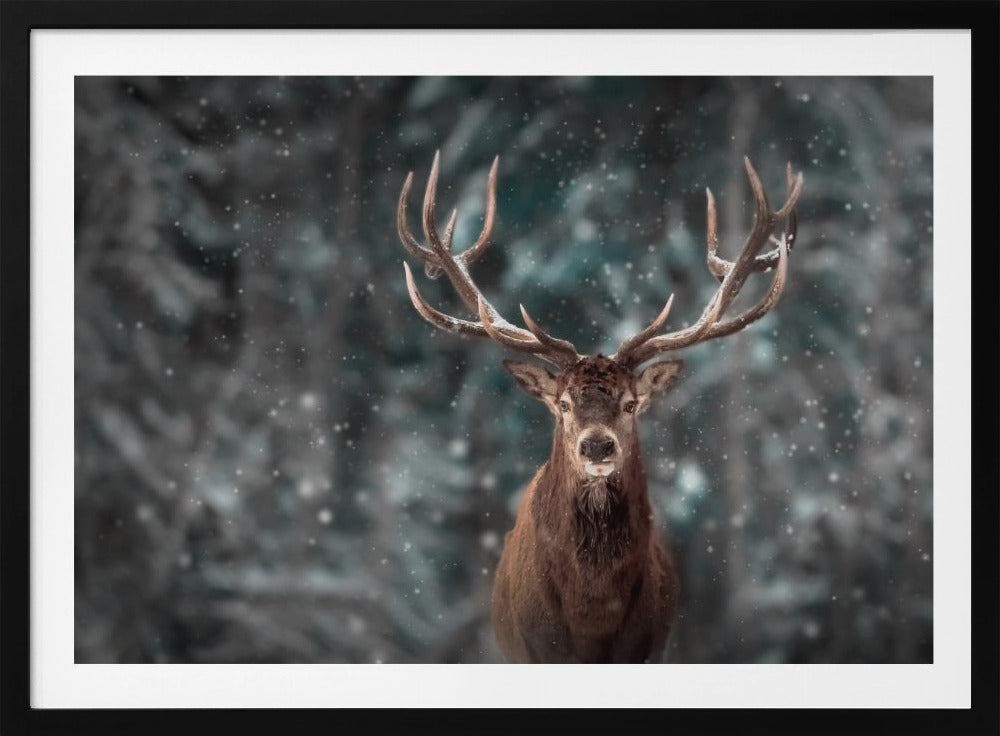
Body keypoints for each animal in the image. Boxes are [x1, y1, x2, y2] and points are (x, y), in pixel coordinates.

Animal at [396, 150, 803, 663]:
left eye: (631, 404)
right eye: (564, 404)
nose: (596, 447)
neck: (592, 616)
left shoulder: (649, 649)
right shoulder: (534, 650)